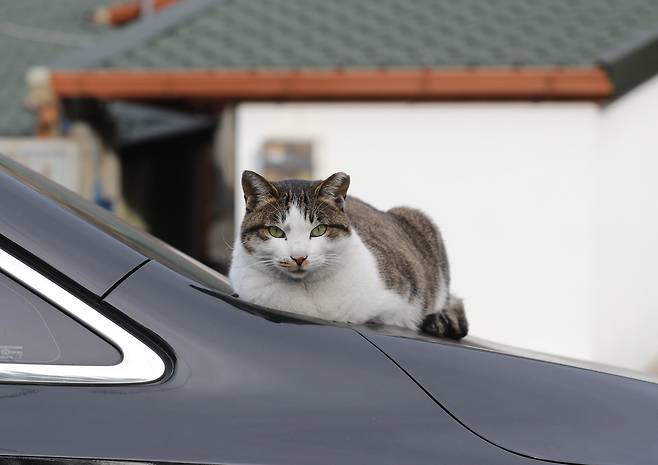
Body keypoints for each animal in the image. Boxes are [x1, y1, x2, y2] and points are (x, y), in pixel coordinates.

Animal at [229, 170, 466, 338]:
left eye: (319, 230)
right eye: (276, 231)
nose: (299, 257)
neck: (307, 291)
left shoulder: (400, 307)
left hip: (417, 217)